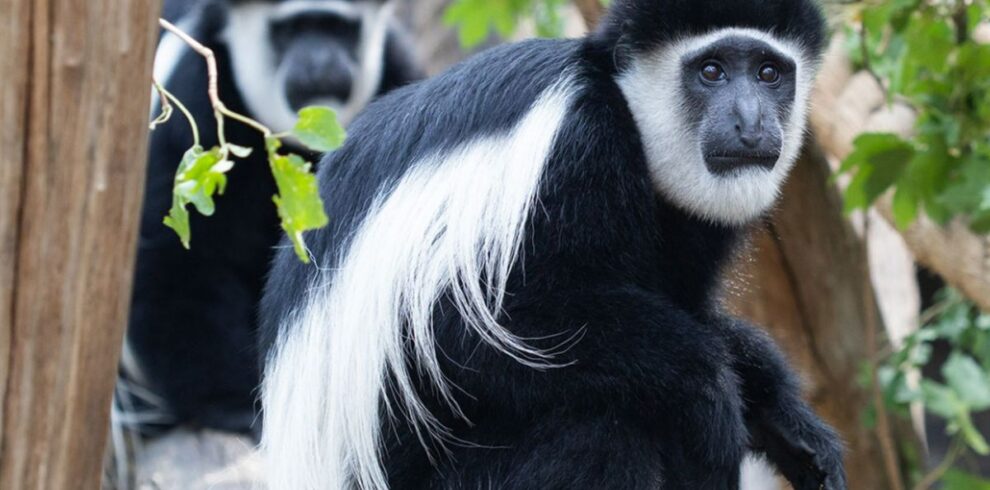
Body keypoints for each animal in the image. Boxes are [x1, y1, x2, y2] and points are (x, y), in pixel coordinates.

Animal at [122, 0, 421, 435]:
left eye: (340, 29)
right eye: (289, 31)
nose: (320, 62)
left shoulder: (399, 74)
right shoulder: (191, 99)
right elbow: (180, 261)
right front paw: (231, 406)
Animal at [259, 0, 846, 488]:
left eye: (769, 73)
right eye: (711, 70)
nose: (751, 122)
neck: (626, 109)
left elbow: (692, 311)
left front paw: (788, 421)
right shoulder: (574, 149)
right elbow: (480, 329)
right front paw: (710, 390)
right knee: (597, 429)